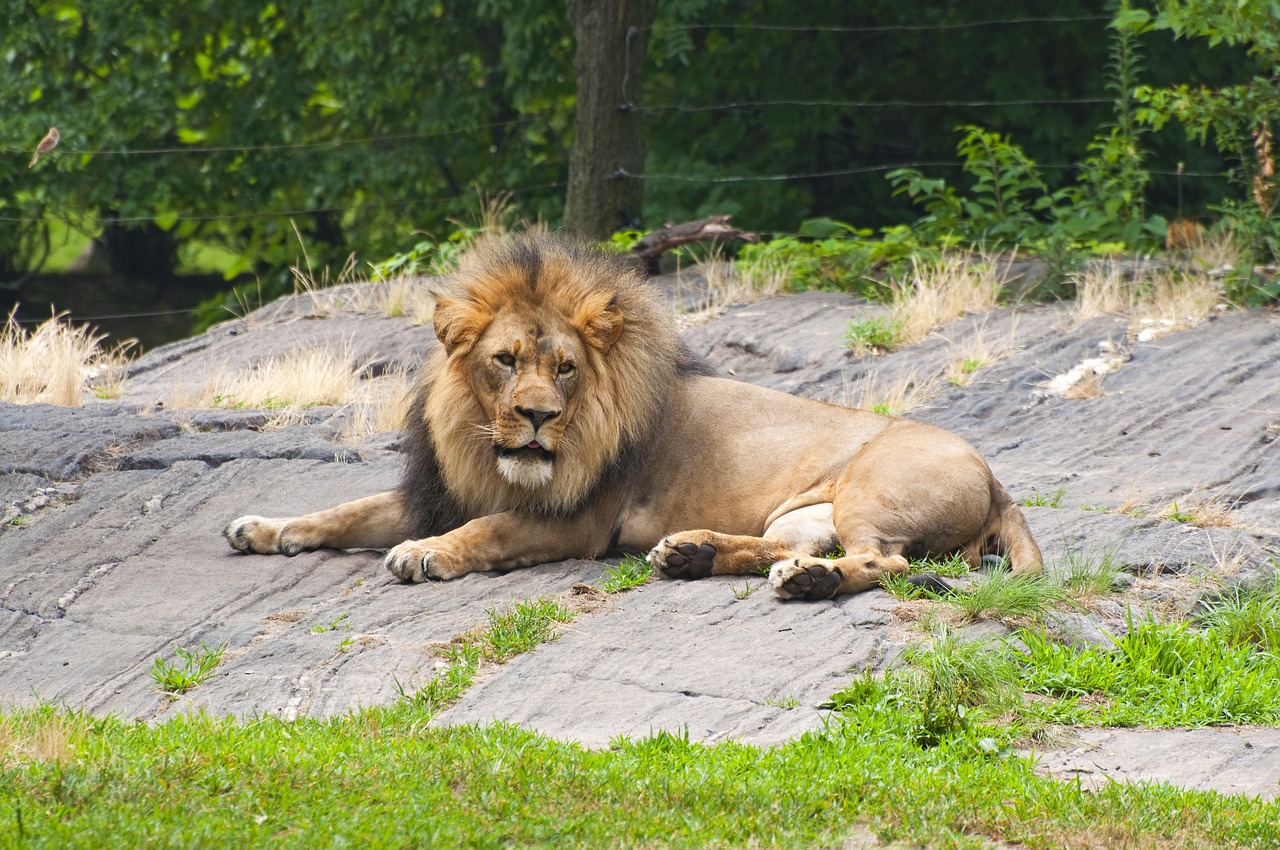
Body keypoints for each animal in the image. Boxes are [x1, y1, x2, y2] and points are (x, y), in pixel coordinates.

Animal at [225, 229, 1044, 593]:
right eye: (505, 361)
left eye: (565, 368)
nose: (537, 417)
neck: (482, 444)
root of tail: (996, 477)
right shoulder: (438, 489)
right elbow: (343, 511)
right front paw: (262, 528)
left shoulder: (579, 520)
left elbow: (489, 529)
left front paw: (427, 553)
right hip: (802, 514)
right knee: (791, 546)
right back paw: (693, 554)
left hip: (871, 491)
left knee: (882, 561)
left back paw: (801, 583)